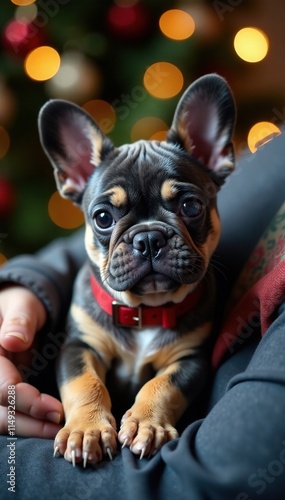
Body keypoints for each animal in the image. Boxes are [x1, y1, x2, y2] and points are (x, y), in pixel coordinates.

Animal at [37, 74, 234, 468]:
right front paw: (87, 431)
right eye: (103, 217)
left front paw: (147, 425)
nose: (148, 238)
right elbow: (85, 383)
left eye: (191, 206)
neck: (145, 311)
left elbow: (162, 386)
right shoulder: (79, 346)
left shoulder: (189, 358)